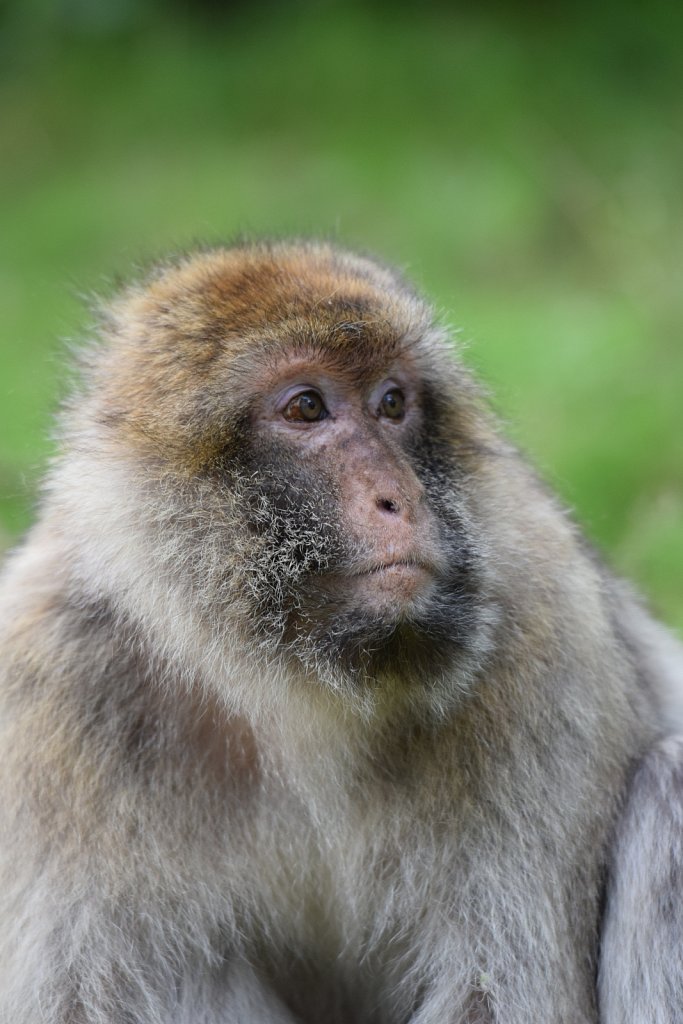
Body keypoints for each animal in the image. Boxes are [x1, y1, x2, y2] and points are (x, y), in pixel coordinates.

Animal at [0, 239, 679, 1024]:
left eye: (392, 402)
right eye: (306, 407)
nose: (399, 497)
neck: (290, 683)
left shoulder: (547, 638)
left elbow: (500, 993)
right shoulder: (49, 692)